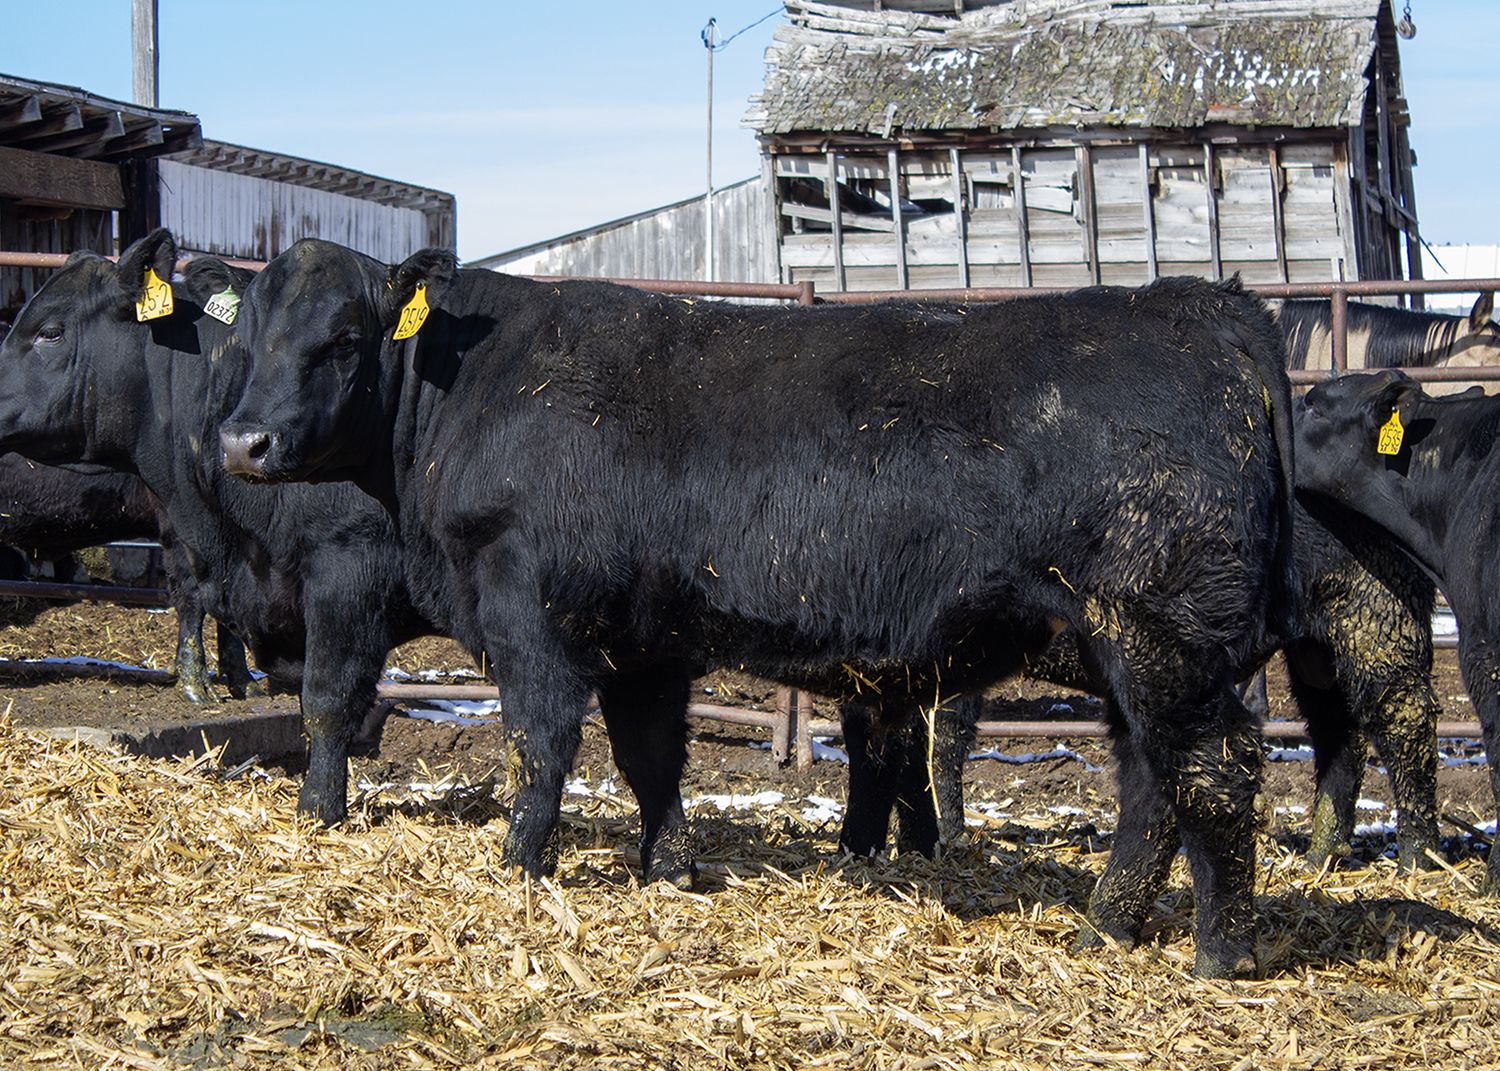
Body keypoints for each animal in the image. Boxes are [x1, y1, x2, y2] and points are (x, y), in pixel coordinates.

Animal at [221, 240, 1297, 977]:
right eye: (243, 336)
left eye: (343, 339)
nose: (243, 442)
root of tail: (1203, 304)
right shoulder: (644, 640)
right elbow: (648, 755)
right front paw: (668, 867)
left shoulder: (532, 616)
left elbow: (540, 746)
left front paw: (517, 867)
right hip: (1122, 649)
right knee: (1150, 783)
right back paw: (1106, 924)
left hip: (1164, 638)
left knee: (1213, 770)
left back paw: (1222, 951)